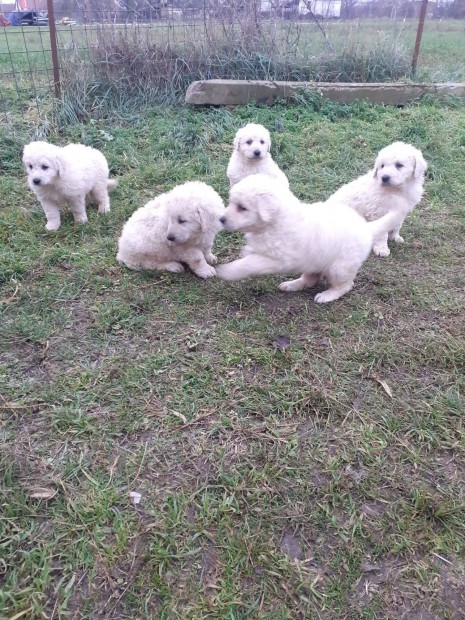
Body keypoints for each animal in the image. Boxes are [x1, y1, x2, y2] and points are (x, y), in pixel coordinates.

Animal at [216, 173, 396, 304]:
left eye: (242, 208)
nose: (221, 219)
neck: (274, 222)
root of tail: (366, 228)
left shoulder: (279, 260)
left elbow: (249, 263)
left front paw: (228, 271)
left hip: (339, 268)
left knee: (345, 285)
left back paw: (326, 295)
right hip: (315, 261)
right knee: (311, 279)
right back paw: (292, 284)